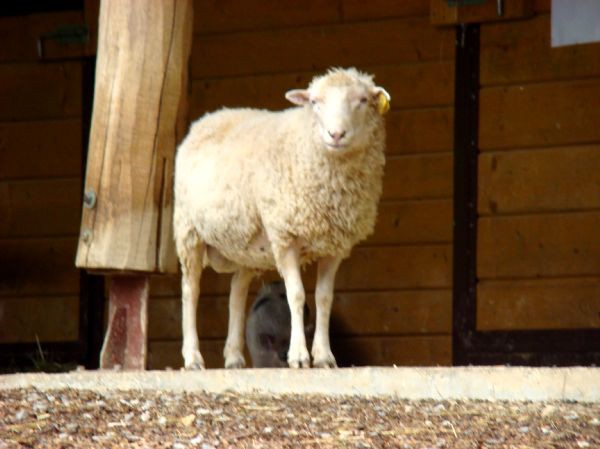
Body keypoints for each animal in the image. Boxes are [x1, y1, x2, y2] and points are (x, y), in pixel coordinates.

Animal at [172, 66, 390, 368]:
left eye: (363, 100)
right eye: (315, 102)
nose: (336, 134)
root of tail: (208, 119)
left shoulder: (335, 246)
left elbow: (324, 298)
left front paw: (324, 356)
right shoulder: (285, 236)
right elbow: (295, 295)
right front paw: (299, 356)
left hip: (245, 246)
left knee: (237, 292)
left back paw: (234, 357)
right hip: (189, 230)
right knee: (190, 291)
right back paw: (193, 357)